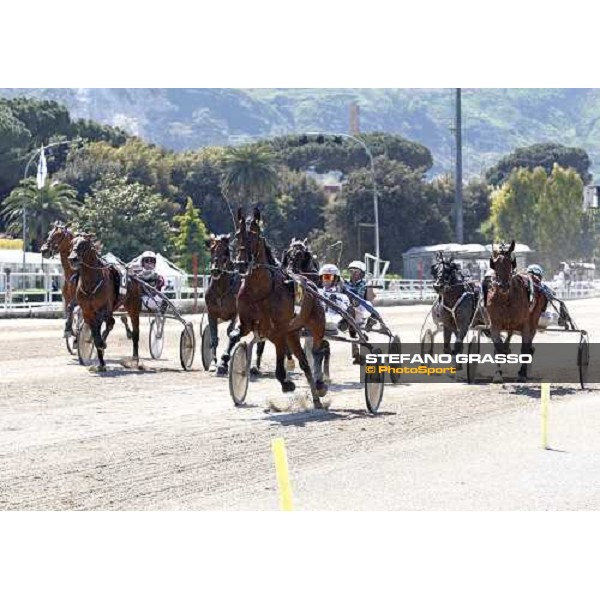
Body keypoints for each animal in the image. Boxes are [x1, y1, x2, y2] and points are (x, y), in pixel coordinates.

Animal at [68, 233, 143, 370]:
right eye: (72, 243)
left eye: (83, 245)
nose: (72, 258)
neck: (91, 283)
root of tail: (133, 273)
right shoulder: (87, 312)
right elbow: (96, 333)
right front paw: (101, 362)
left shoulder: (104, 309)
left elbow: (106, 326)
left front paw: (101, 347)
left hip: (133, 308)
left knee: (135, 332)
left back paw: (135, 360)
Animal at [233, 206, 328, 408]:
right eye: (237, 235)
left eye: (254, 235)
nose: (241, 264)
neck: (259, 290)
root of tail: (309, 281)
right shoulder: (248, 325)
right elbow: (236, 335)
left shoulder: (277, 331)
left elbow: (279, 363)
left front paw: (287, 383)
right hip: (293, 332)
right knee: (305, 363)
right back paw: (316, 398)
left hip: (316, 323)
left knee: (318, 350)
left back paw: (320, 384)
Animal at [488, 238, 548, 380]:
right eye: (495, 264)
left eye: (510, 263)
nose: (503, 285)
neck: (506, 299)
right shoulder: (494, 324)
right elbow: (498, 347)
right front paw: (498, 374)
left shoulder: (525, 324)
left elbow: (525, 348)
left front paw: (522, 373)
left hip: (534, 319)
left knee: (529, 342)